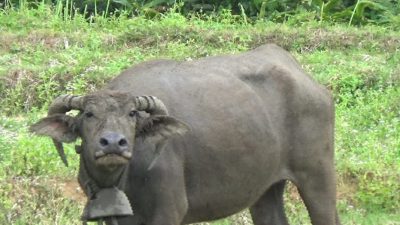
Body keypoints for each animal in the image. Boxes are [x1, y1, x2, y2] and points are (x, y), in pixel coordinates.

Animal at [30, 44, 340, 225]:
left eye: (132, 114)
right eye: (88, 115)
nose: (113, 144)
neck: (120, 180)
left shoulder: (169, 210)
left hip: (318, 175)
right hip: (265, 188)